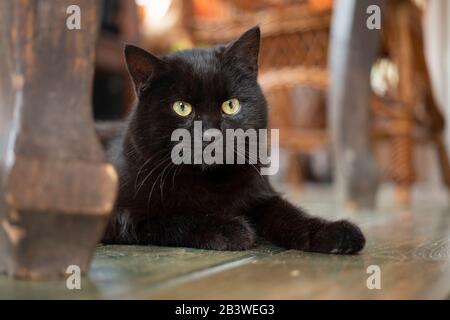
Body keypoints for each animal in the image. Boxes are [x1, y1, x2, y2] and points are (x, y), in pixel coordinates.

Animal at [103, 26, 366, 254]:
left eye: (230, 105)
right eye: (182, 107)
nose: (211, 135)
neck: (210, 182)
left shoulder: (261, 195)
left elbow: (289, 214)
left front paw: (334, 232)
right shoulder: (123, 215)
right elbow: (175, 217)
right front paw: (232, 229)